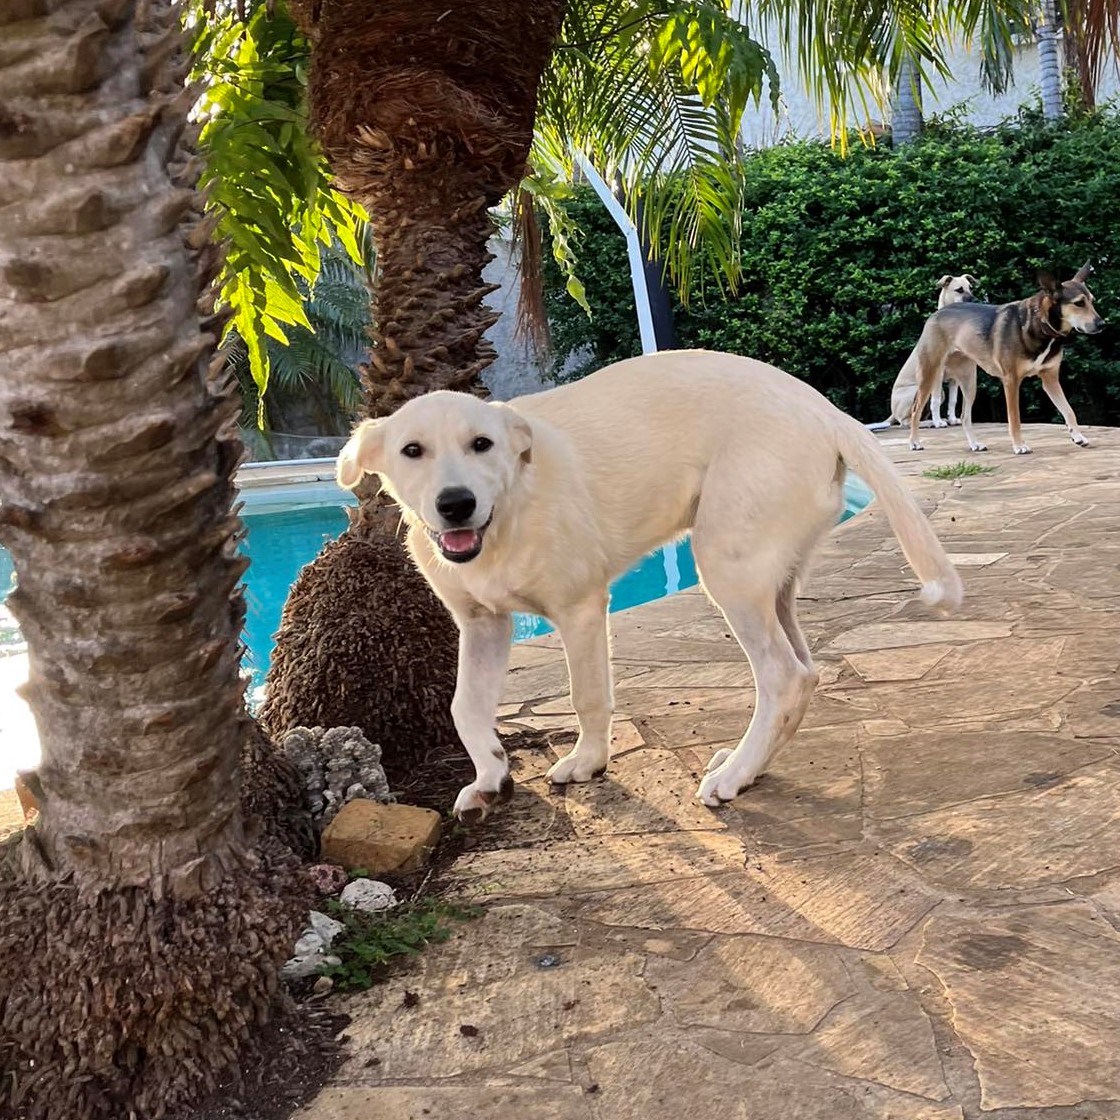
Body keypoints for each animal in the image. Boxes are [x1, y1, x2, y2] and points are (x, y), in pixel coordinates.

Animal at [333, 349, 963, 824]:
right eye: (412, 451)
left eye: (481, 444)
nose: (456, 504)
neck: (509, 508)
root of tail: (823, 408)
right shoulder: (483, 624)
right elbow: (464, 706)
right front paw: (489, 773)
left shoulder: (582, 610)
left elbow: (588, 696)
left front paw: (586, 762)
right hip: (773, 576)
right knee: (805, 674)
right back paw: (746, 768)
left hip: (728, 565)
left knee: (783, 677)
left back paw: (733, 776)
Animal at [909, 263, 1102, 454]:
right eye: (1079, 303)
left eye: (1092, 301)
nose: (1102, 324)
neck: (1040, 323)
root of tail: (939, 312)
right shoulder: (1011, 380)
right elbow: (1014, 419)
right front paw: (1019, 445)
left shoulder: (1050, 379)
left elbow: (1068, 410)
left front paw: (1078, 436)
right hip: (930, 374)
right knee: (915, 410)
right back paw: (914, 442)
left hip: (969, 381)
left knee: (964, 416)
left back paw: (974, 444)